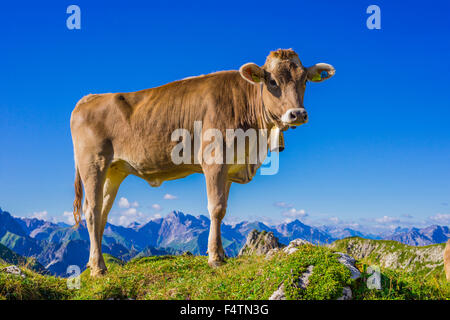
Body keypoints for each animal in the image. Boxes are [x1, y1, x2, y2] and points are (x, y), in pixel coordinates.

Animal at [71, 48, 334, 276]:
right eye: (272, 82)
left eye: (305, 80)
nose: (297, 114)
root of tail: (89, 98)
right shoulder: (215, 159)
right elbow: (216, 207)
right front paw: (215, 258)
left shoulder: (230, 166)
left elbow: (224, 209)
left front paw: (222, 254)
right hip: (93, 164)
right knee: (92, 211)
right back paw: (98, 269)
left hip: (114, 170)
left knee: (103, 213)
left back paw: (93, 263)